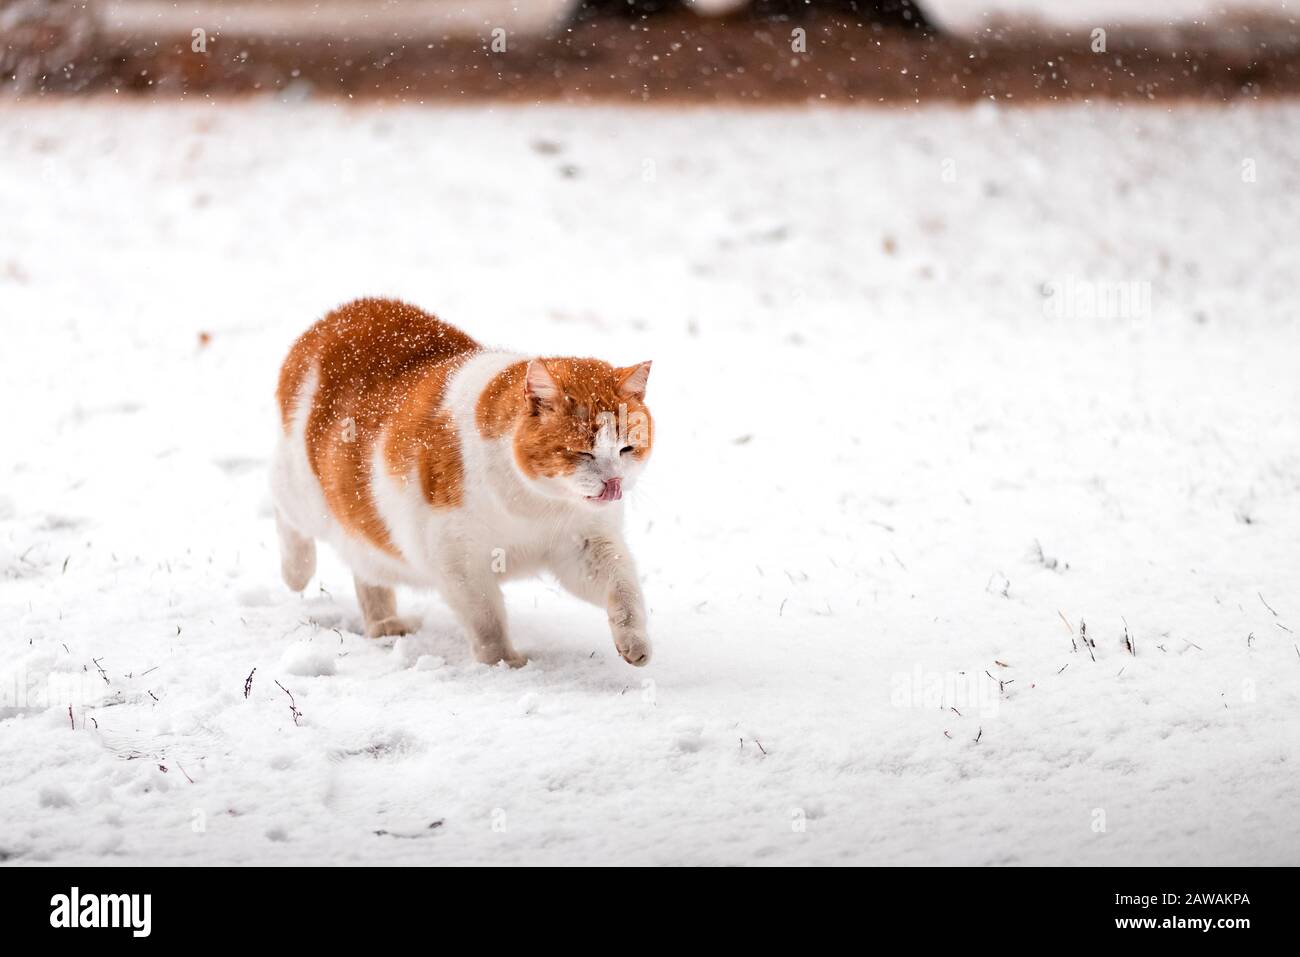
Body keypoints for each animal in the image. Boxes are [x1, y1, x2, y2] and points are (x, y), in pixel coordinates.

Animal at [276, 297, 660, 665]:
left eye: (626, 448)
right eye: (582, 452)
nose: (613, 482)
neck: (537, 505)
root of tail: (346, 311)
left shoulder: (585, 545)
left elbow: (623, 589)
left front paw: (634, 642)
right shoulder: (458, 559)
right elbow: (486, 619)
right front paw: (502, 662)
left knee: (367, 571)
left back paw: (385, 623)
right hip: (305, 495)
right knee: (281, 507)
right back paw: (297, 571)